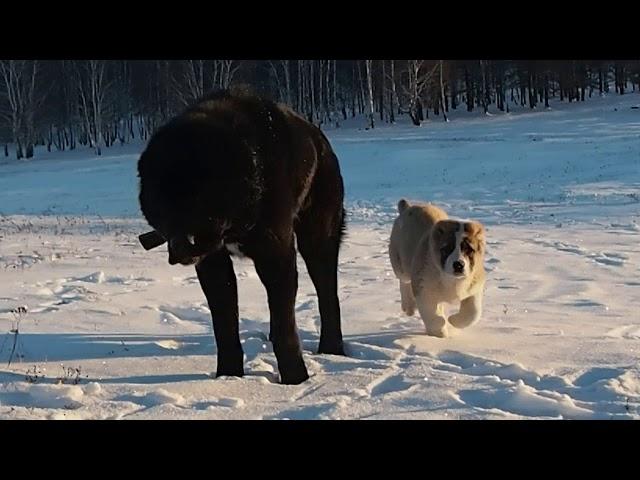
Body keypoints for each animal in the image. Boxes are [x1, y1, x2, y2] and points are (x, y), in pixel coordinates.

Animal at [136, 88, 344, 384]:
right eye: (162, 201)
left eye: (202, 196)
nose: (183, 247)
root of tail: (319, 138)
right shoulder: (213, 264)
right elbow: (224, 326)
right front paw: (228, 376)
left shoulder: (276, 255)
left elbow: (285, 324)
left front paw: (295, 379)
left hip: (318, 238)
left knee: (328, 295)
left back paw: (332, 349)